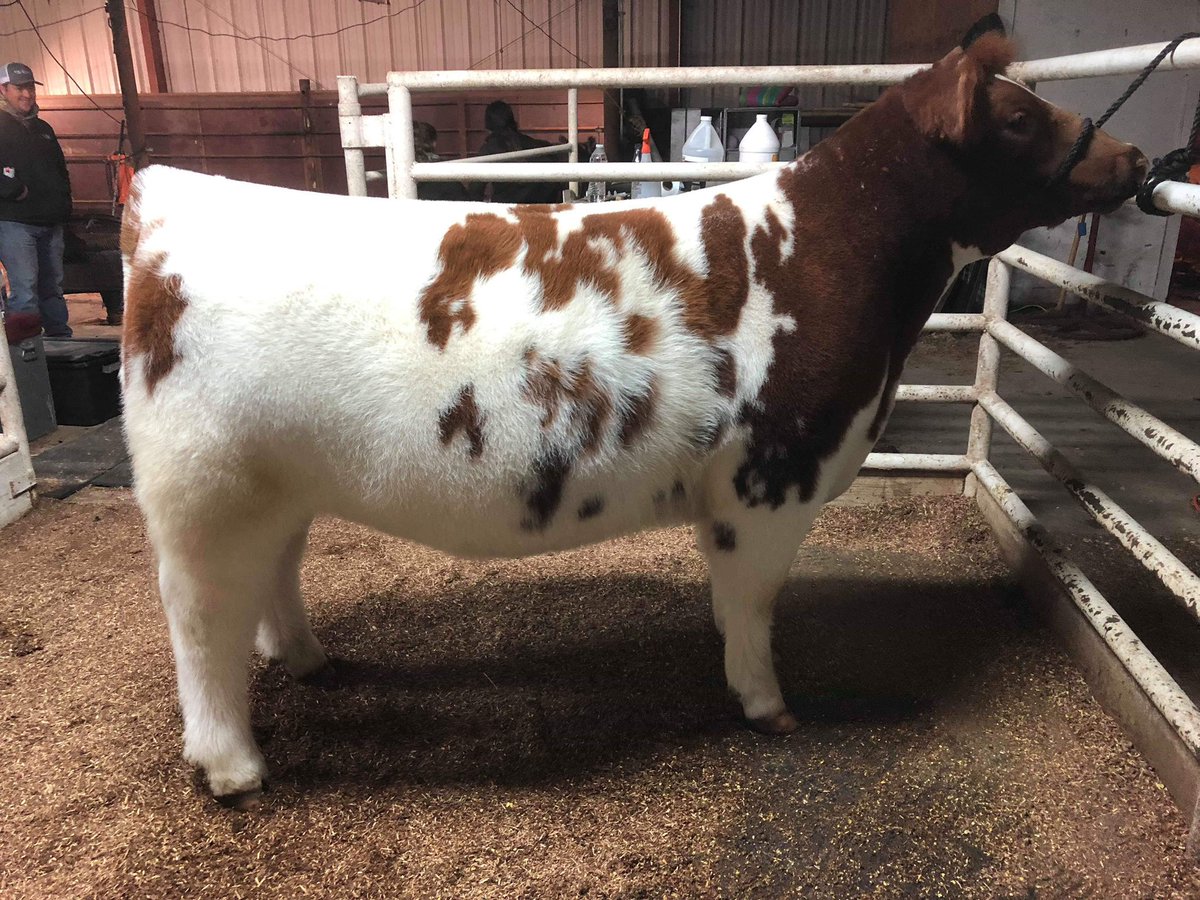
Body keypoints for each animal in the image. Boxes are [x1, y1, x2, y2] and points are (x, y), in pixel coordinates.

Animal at [119, 33, 1146, 806]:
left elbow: (735, 599)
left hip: (278, 484)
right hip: (203, 489)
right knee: (201, 622)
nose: (1133, 155)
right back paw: (234, 769)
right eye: (1018, 118)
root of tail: (166, 197)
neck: (838, 254)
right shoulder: (769, 480)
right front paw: (768, 707)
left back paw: (308, 661)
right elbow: (753, 602)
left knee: (274, 579)